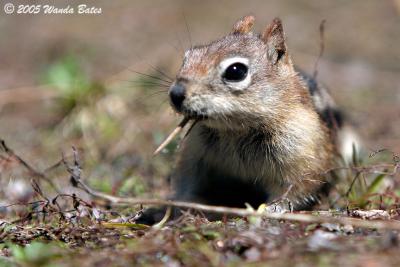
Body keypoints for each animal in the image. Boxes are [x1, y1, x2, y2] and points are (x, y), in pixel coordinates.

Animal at [139, 14, 354, 224]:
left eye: (236, 71)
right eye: (189, 56)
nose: (176, 94)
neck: (236, 130)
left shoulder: (302, 158)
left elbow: (295, 189)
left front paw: (272, 209)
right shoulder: (194, 155)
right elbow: (188, 181)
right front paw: (184, 207)